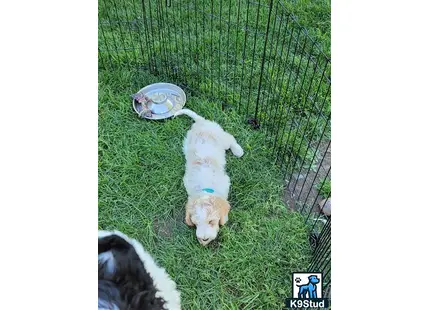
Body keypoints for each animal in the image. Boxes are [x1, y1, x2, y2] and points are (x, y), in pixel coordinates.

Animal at [173, 108, 244, 246]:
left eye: (211, 221)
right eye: (195, 223)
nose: (204, 239)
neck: (205, 188)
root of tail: (201, 122)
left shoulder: (225, 183)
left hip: (221, 138)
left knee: (230, 138)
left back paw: (238, 150)